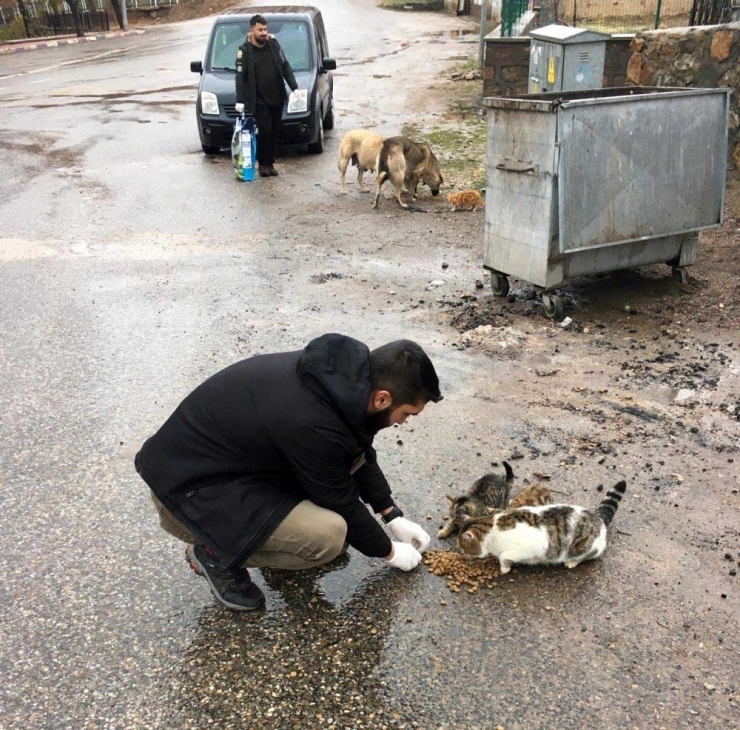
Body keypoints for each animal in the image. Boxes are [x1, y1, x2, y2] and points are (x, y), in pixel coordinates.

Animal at [460, 478, 628, 576]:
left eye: (462, 547)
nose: (462, 554)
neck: (493, 527)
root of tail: (597, 517)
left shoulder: (530, 547)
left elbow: (504, 556)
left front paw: (504, 568)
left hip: (583, 547)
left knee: (591, 553)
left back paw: (572, 561)